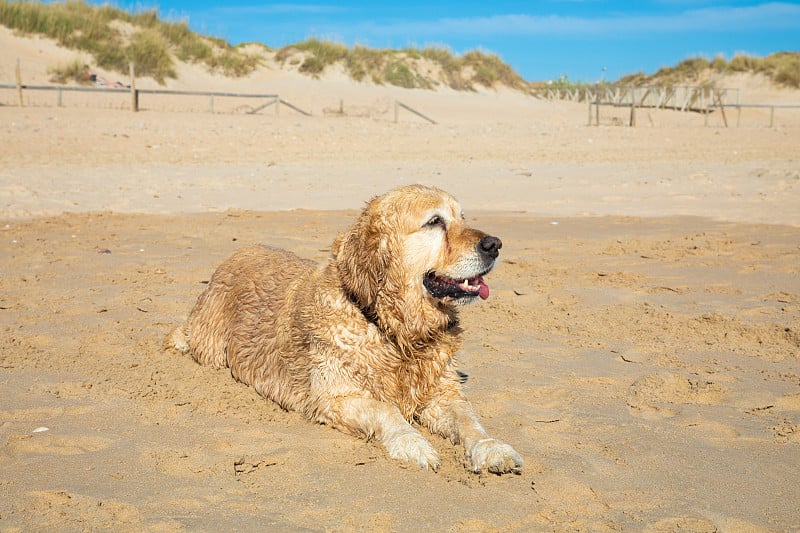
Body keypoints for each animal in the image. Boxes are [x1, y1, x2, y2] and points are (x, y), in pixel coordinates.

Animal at [171, 185, 520, 472]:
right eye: (435, 222)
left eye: (462, 217)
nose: (495, 244)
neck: (391, 327)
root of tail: (235, 253)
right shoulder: (333, 397)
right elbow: (385, 409)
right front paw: (413, 443)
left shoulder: (442, 390)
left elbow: (469, 420)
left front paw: (493, 449)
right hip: (211, 348)